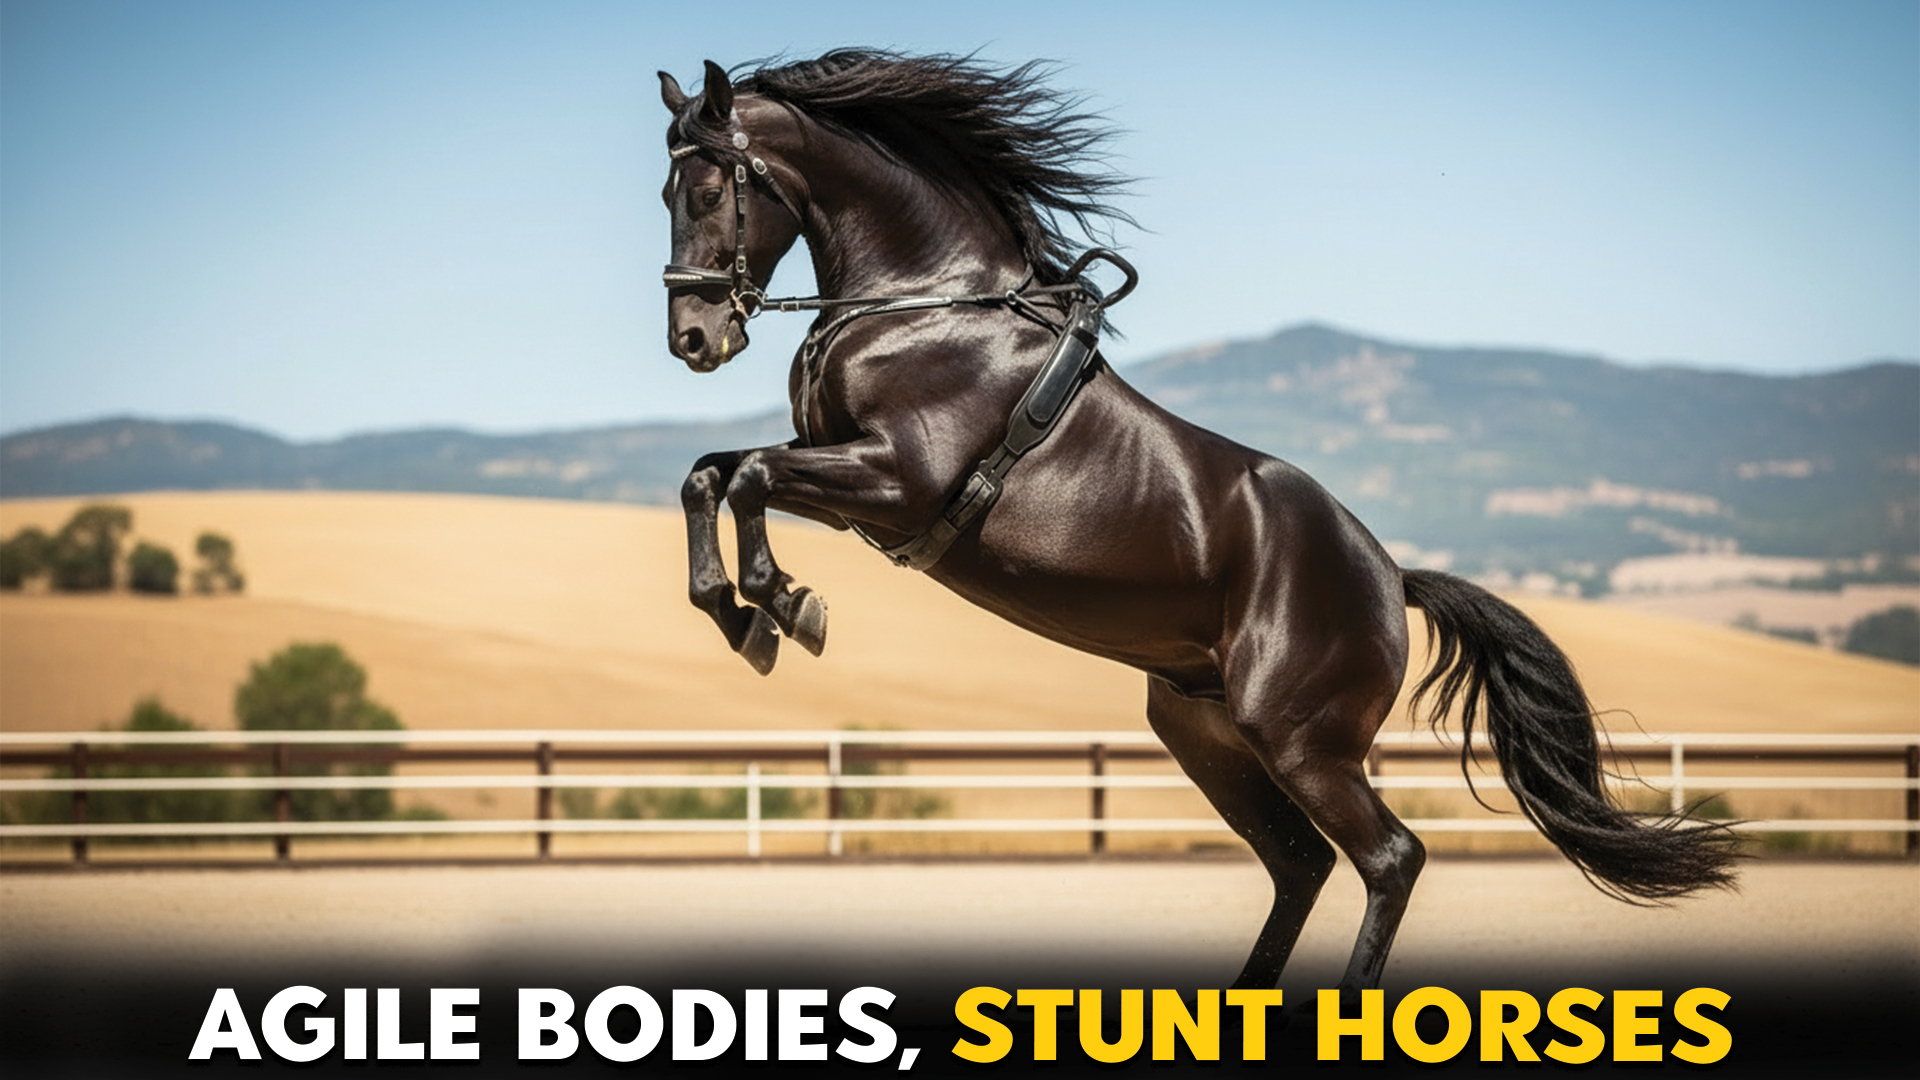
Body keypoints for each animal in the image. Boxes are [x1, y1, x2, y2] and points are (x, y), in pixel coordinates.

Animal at [656, 50, 1738, 994]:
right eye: (667, 196)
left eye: (707, 194)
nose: (694, 340)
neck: (928, 302)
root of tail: (1391, 579)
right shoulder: (849, 484)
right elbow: (709, 477)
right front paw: (744, 614)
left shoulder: (897, 479)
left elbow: (748, 478)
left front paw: (781, 608)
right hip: (1206, 732)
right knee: (1301, 863)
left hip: (1298, 738)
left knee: (1388, 857)